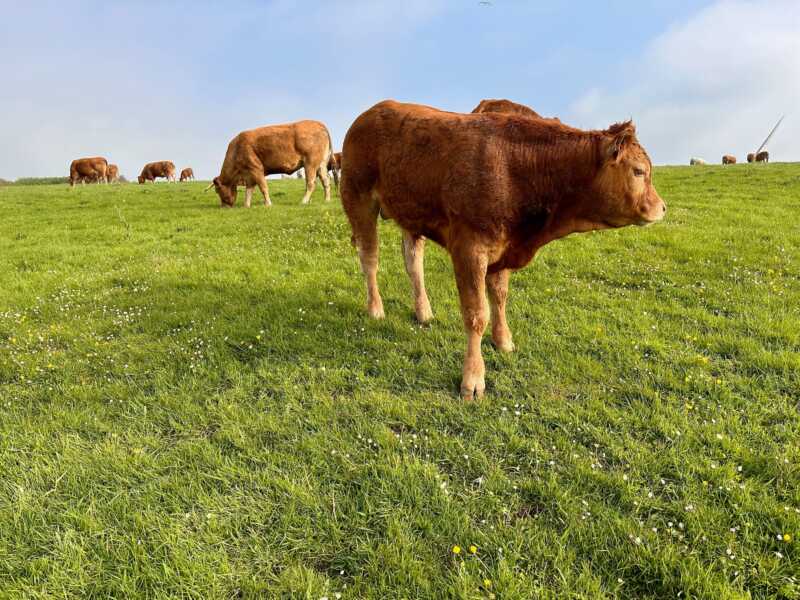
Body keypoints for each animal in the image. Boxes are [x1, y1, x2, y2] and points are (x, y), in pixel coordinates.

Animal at [206, 119, 334, 209]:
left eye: (217, 190)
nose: (223, 206)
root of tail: (317, 123)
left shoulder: (256, 168)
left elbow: (263, 187)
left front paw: (268, 204)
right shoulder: (249, 175)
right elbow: (249, 191)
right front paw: (246, 206)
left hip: (310, 163)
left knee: (311, 183)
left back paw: (303, 201)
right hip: (321, 164)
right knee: (326, 181)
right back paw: (327, 200)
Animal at [340, 101, 664, 400]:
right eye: (638, 171)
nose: (662, 208)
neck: (518, 169)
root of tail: (372, 111)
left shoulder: (504, 248)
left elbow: (499, 296)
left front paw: (503, 340)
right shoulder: (469, 249)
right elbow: (476, 314)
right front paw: (473, 379)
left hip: (411, 211)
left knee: (413, 261)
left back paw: (423, 311)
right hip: (358, 199)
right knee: (370, 259)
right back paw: (376, 308)